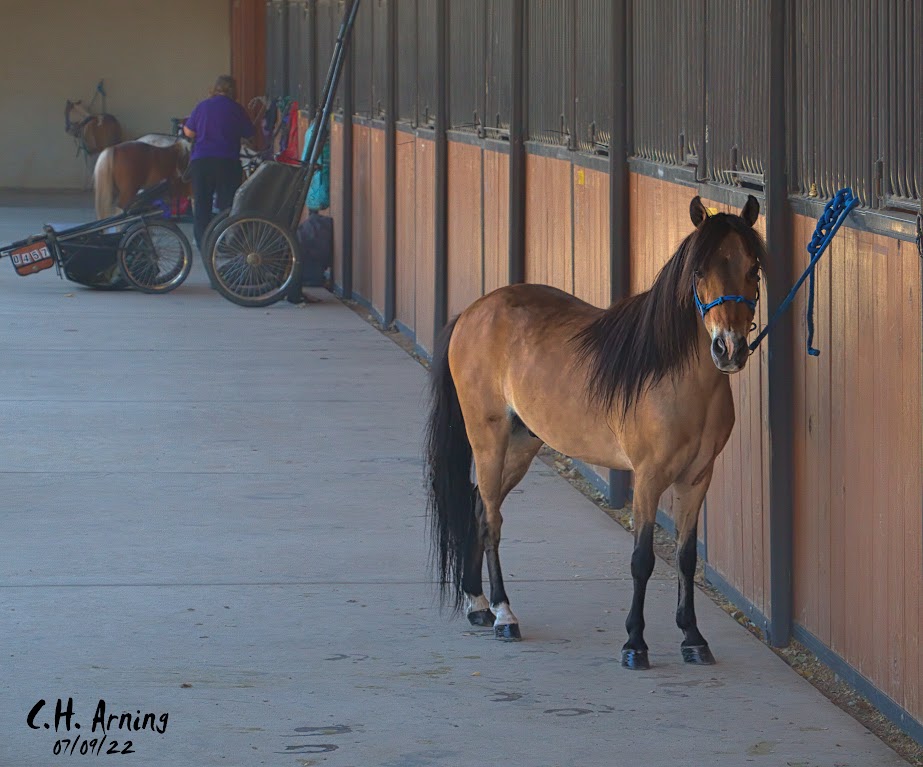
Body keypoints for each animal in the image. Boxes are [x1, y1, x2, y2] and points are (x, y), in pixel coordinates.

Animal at [425, 195, 765, 670]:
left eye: (753, 269)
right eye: (699, 271)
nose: (729, 348)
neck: (674, 376)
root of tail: (472, 313)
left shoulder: (697, 479)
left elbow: (685, 557)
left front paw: (693, 638)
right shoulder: (648, 479)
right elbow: (642, 559)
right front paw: (635, 644)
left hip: (522, 445)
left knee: (478, 505)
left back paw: (478, 604)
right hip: (488, 440)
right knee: (491, 518)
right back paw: (504, 614)